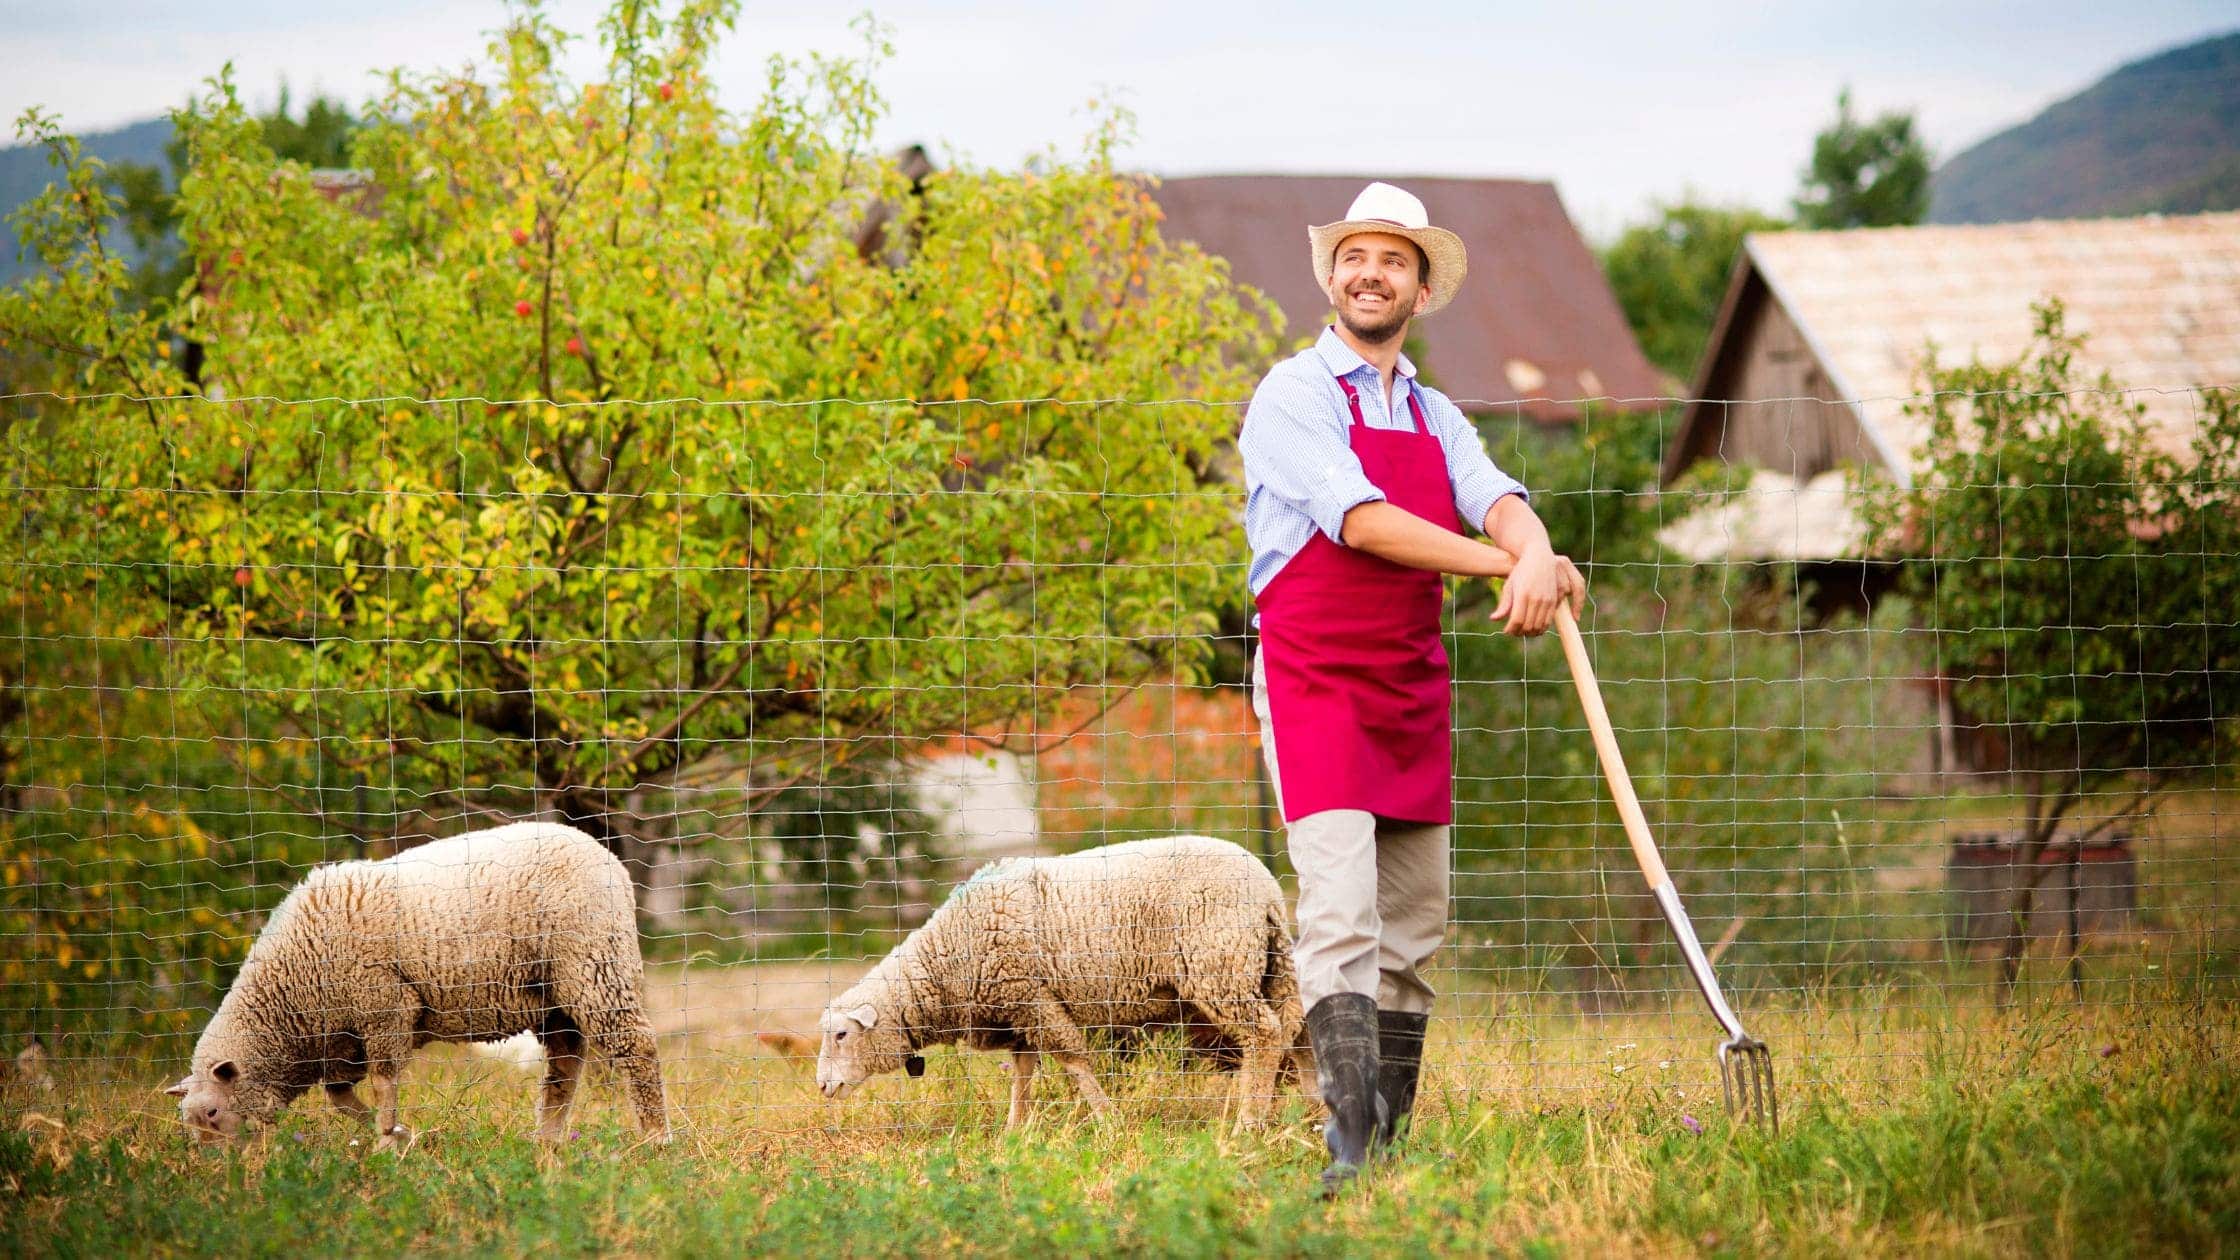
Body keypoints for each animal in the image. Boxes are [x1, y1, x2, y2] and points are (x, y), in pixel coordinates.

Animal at [166, 820, 663, 1143]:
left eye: (212, 1112)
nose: (217, 1168)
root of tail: (606, 855)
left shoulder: (383, 1007)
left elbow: (384, 1083)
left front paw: (388, 1138)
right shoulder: (342, 1042)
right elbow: (340, 1097)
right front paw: (386, 1131)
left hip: (594, 965)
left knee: (636, 1047)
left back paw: (655, 1139)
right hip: (554, 998)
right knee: (564, 1068)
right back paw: (548, 1142)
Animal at [815, 834, 1308, 1129]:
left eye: (841, 1035)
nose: (822, 1087)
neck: (942, 962)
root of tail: (1266, 888)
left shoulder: (1033, 999)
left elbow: (1073, 1061)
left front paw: (1109, 1121)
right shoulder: (1017, 1011)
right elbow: (1023, 1073)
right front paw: (1014, 1132)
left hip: (1219, 964)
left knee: (1265, 1035)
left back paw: (1248, 1123)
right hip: (1270, 963)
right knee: (1295, 1028)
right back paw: (1312, 1105)